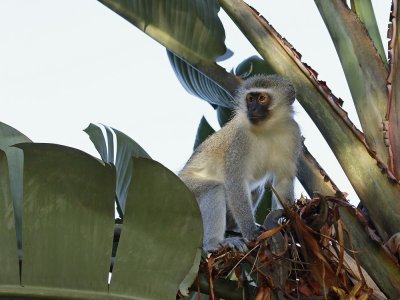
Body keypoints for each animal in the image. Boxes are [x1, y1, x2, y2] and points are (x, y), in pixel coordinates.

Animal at [180, 74, 300, 251]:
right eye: (250, 99)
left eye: (262, 98)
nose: (252, 109)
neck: (267, 128)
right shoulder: (239, 137)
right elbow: (235, 182)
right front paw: (251, 232)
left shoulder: (293, 132)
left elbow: (283, 179)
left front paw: (291, 218)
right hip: (186, 189)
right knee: (214, 188)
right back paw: (213, 244)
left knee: (256, 188)